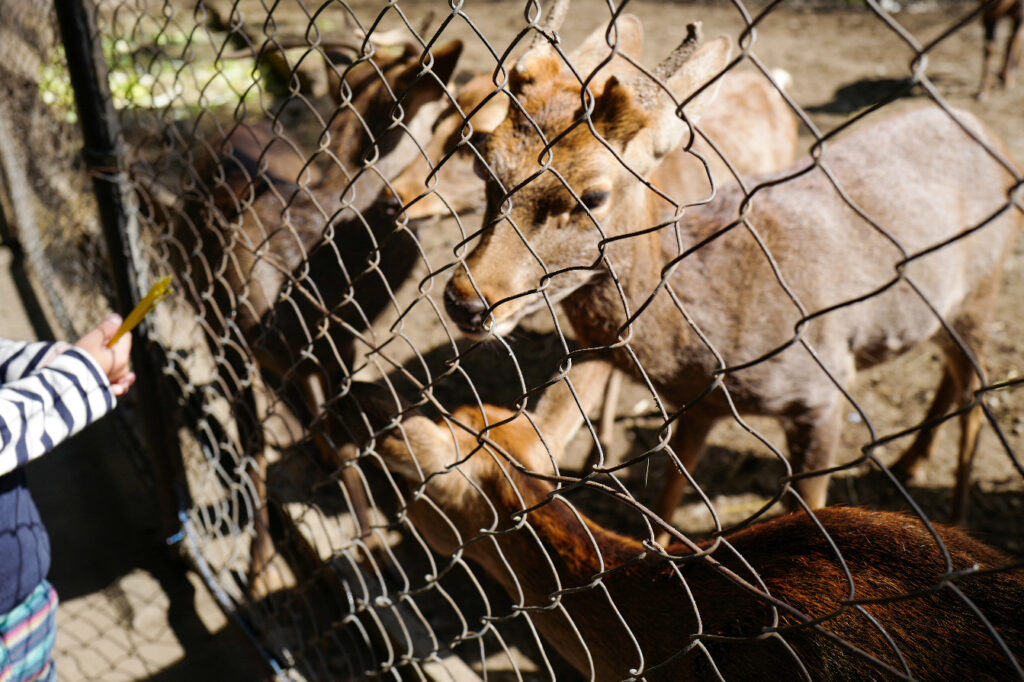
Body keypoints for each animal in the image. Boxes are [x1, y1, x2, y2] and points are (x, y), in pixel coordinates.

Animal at [171, 37, 464, 593]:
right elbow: (262, 453)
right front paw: (262, 572)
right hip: (207, 312)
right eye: (451, 117)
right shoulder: (255, 343)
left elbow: (340, 437)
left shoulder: (334, 350)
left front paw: (372, 550)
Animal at [442, 15, 1024, 528]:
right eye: (484, 158)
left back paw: (957, 515)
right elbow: (669, 498)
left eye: (594, 195)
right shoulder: (697, 405)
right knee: (953, 377)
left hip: (985, 288)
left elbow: (809, 508)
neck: (705, 339)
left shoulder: (823, 387)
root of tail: (992, 137)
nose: (466, 301)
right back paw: (909, 462)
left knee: (976, 392)